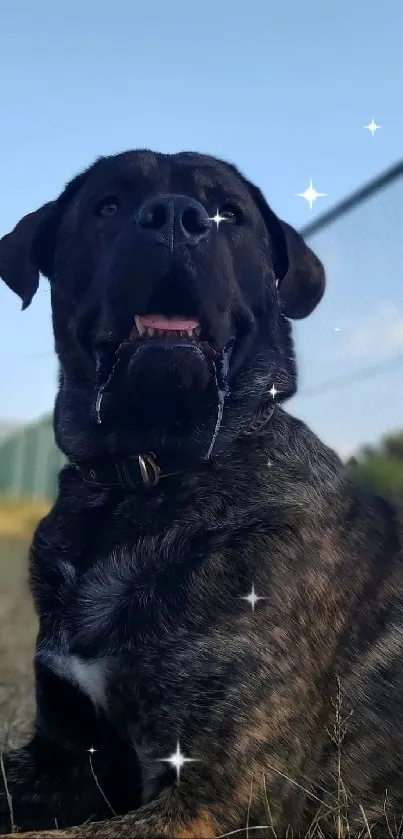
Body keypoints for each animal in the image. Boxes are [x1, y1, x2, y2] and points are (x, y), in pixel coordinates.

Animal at [0, 151, 403, 839]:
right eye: (108, 204)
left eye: (229, 213)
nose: (174, 217)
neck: (148, 481)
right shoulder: (64, 759)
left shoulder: (219, 792)